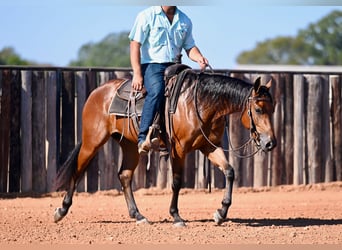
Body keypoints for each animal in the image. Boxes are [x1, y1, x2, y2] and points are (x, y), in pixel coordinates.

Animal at [54, 68, 276, 227]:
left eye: (273, 109)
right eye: (258, 109)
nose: (270, 143)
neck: (199, 103)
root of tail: (98, 92)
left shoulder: (209, 146)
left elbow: (229, 171)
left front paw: (220, 213)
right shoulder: (178, 149)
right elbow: (176, 182)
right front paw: (176, 216)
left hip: (130, 145)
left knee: (124, 175)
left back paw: (138, 216)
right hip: (92, 141)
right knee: (78, 170)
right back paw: (61, 211)